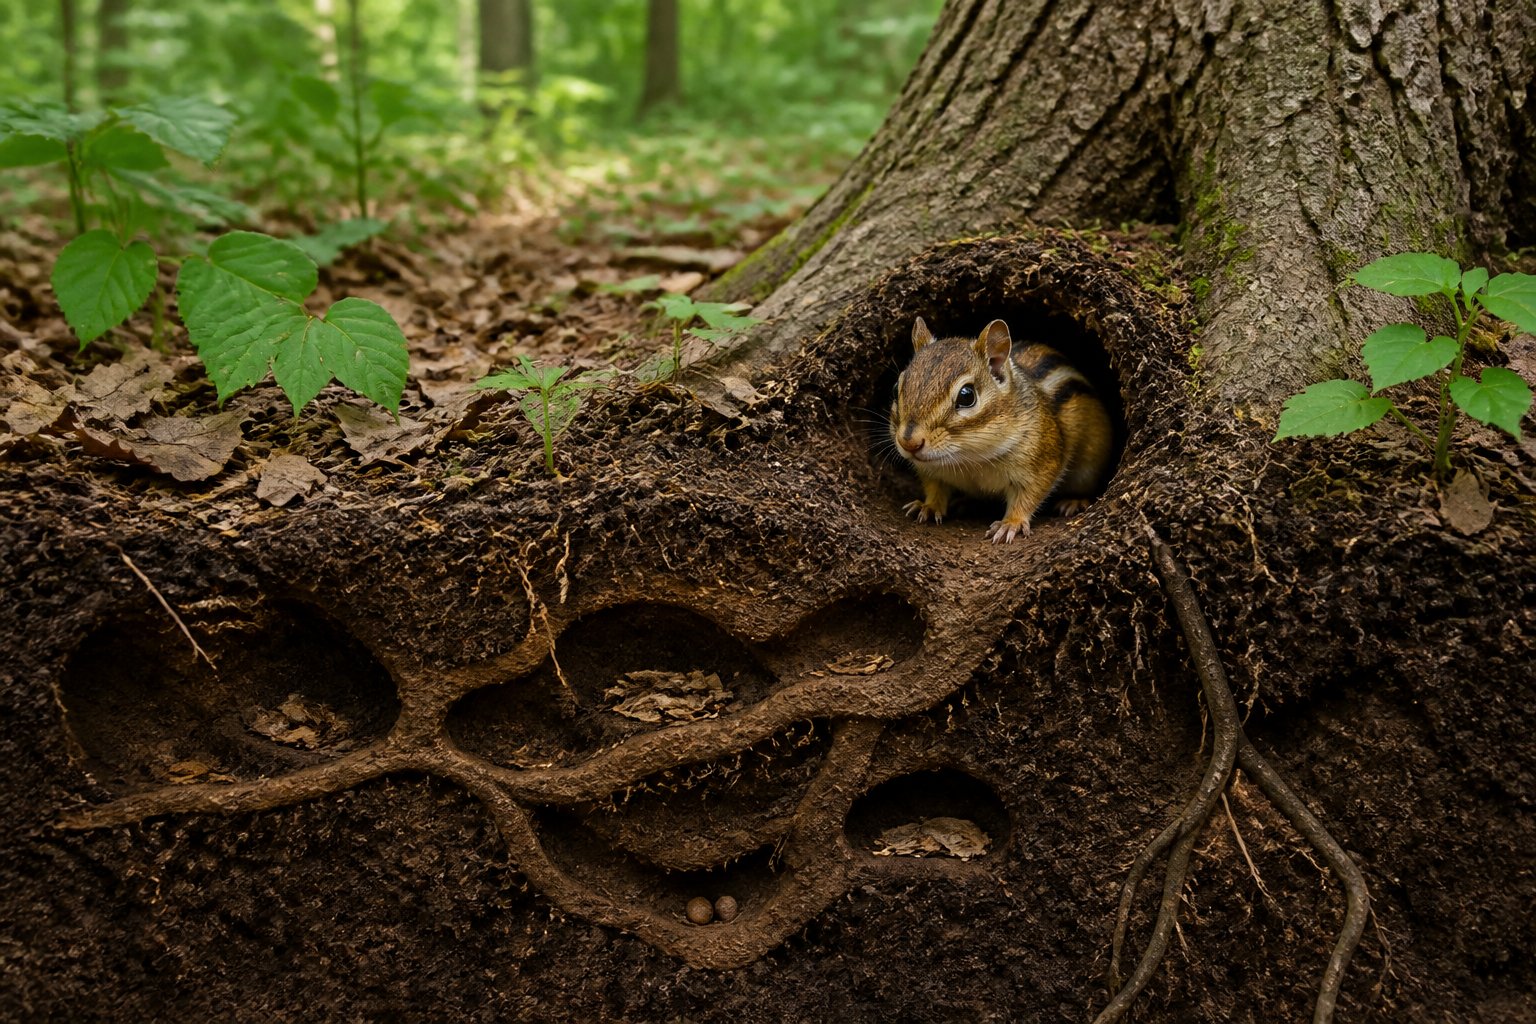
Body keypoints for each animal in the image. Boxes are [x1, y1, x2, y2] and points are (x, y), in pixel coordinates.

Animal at [889, 316, 1114, 544]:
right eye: (895, 388)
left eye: (966, 396)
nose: (909, 443)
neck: (970, 458)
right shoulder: (931, 470)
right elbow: (935, 487)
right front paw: (928, 506)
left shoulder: (1042, 458)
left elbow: (1029, 495)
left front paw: (1011, 523)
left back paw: (1074, 500)